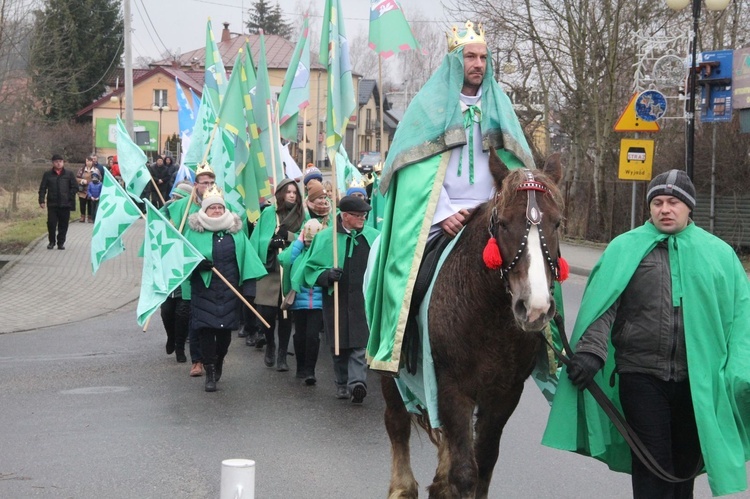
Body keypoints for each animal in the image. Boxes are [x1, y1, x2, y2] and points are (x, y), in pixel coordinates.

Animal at [382, 152, 564, 499]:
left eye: (557, 223)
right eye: (503, 223)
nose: (534, 308)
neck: (488, 316)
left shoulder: (504, 394)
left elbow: (484, 464)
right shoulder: (452, 387)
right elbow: (465, 472)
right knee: (397, 423)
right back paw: (402, 487)